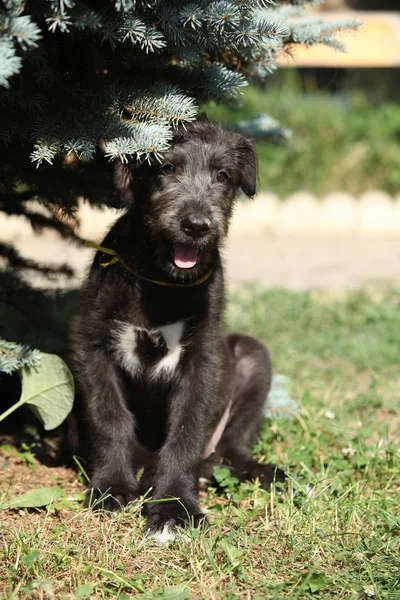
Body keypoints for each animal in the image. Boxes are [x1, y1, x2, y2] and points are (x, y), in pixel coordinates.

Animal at [71, 120, 284, 540]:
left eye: (223, 176)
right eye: (166, 169)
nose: (196, 226)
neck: (160, 280)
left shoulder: (201, 360)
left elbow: (187, 429)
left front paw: (173, 505)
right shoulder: (92, 346)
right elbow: (109, 418)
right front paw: (111, 488)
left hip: (253, 358)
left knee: (230, 448)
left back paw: (259, 471)